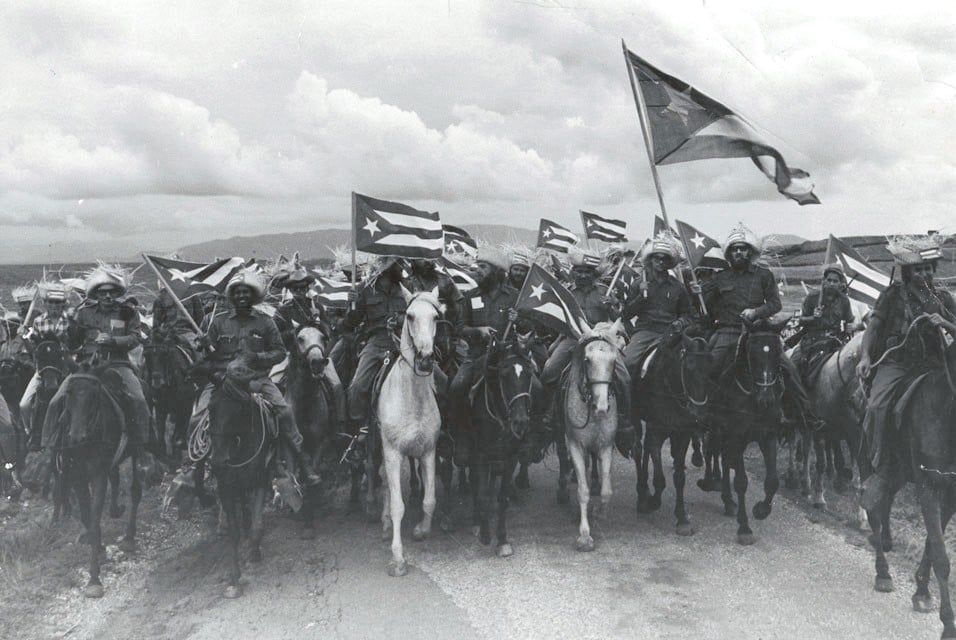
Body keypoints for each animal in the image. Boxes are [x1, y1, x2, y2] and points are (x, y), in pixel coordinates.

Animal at [42, 368, 143, 596]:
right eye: (68, 394)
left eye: (94, 396)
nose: (76, 437)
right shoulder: (77, 478)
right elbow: (87, 517)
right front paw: (100, 550)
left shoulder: (98, 477)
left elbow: (95, 520)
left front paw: (94, 580)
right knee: (116, 478)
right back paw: (116, 510)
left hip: (137, 450)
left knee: (135, 491)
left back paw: (129, 537)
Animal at [560, 320, 628, 552]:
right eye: (587, 360)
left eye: (614, 361)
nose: (602, 408)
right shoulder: (575, 444)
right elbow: (583, 490)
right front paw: (584, 536)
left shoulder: (606, 445)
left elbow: (607, 491)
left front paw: (599, 512)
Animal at [636, 330, 708, 536]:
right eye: (689, 369)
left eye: (710, 371)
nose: (699, 414)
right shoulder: (656, 431)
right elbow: (660, 477)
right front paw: (653, 501)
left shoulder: (682, 434)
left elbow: (679, 478)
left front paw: (682, 518)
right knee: (638, 449)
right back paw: (642, 491)